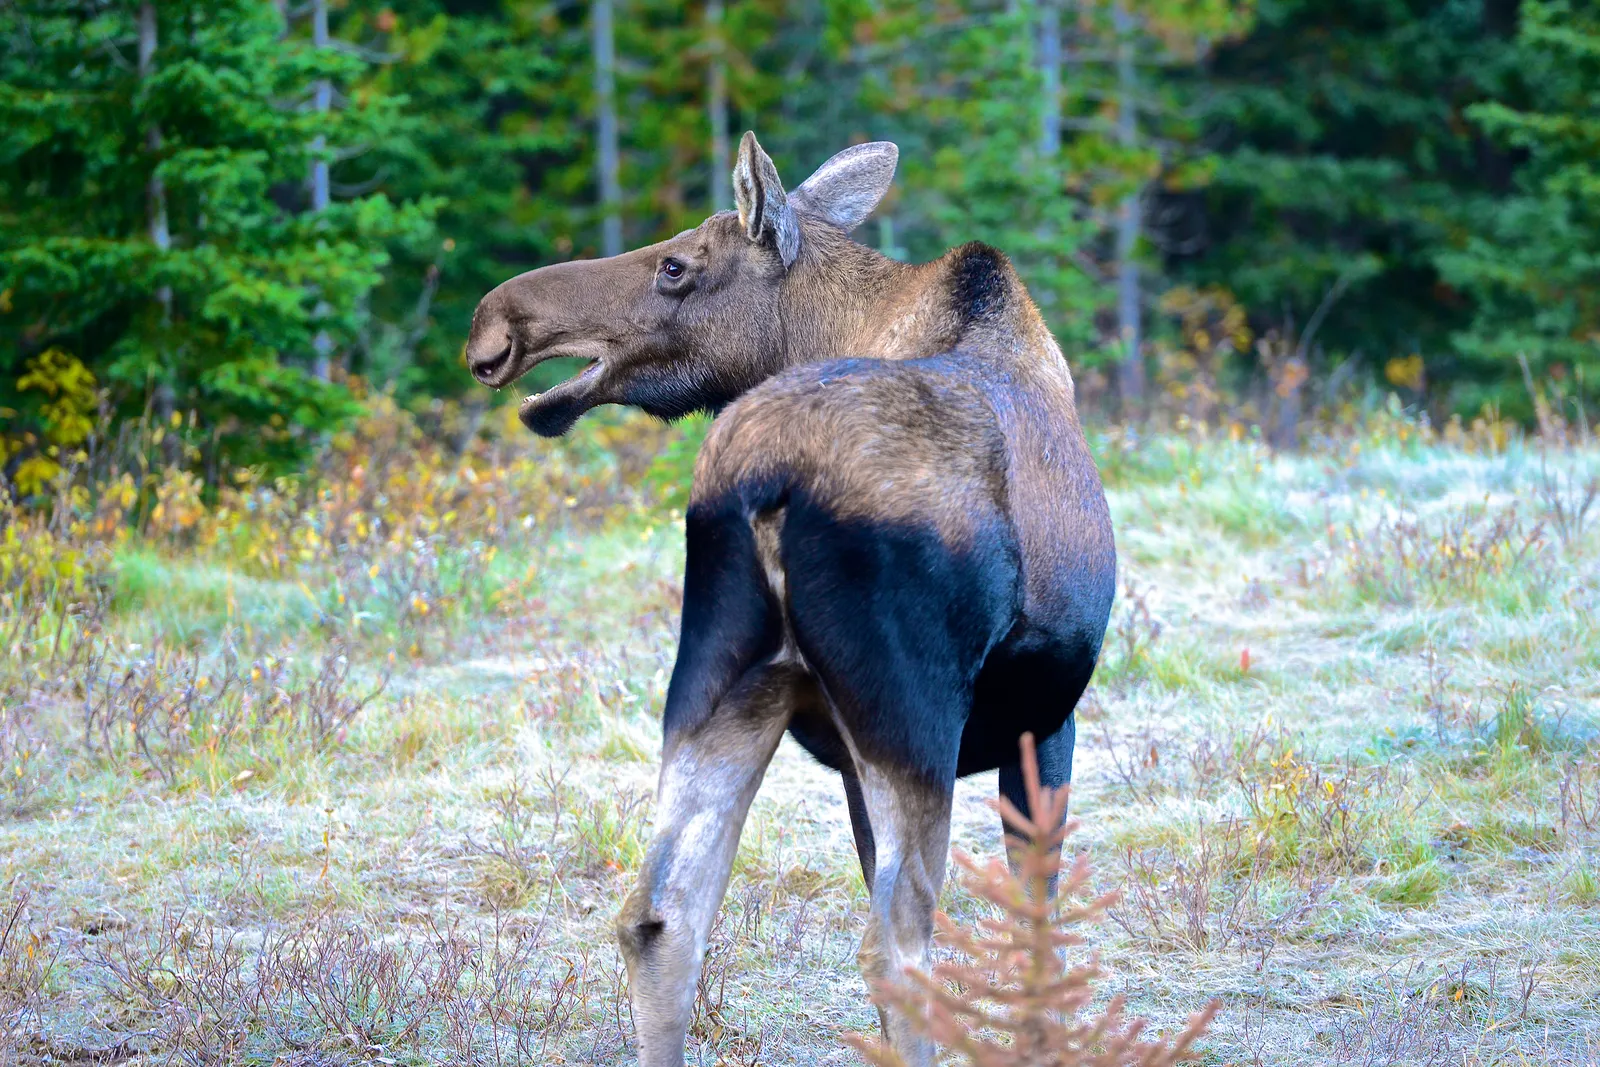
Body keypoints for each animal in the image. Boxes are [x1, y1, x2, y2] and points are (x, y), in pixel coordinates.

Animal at [465, 132, 1116, 1067]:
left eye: (675, 265)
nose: (497, 324)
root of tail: (771, 478)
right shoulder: (1046, 716)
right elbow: (1037, 920)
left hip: (721, 677)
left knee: (659, 915)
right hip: (911, 714)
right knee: (898, 939)